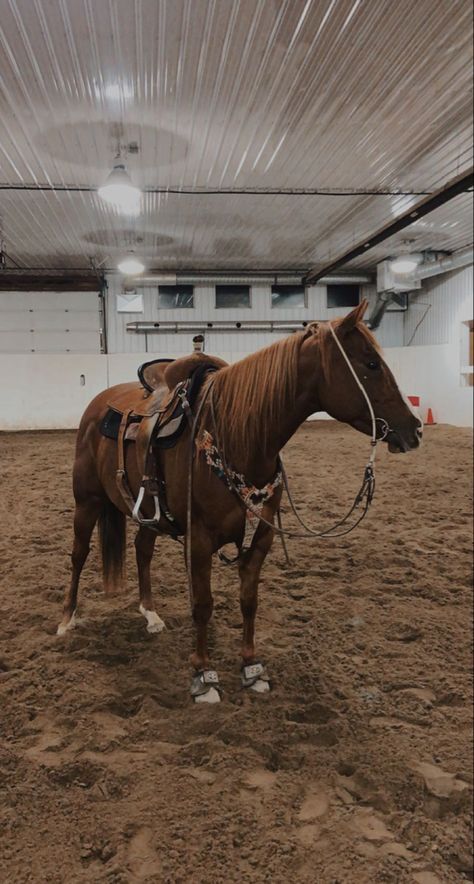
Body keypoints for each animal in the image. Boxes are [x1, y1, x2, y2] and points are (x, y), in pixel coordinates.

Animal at [57, 304, 420, 704]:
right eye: (371, 363)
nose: (415, 429)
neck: (239, 437)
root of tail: (97, 406)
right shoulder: (199, 539)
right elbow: (203, 605)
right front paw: (203, 675)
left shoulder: (261, 538)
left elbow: (249, 600)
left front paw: (251, 667)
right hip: (86, 502)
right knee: (78, 554)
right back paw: (66, 620)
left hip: (150, 513)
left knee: (142, 549)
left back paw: (150, 614)